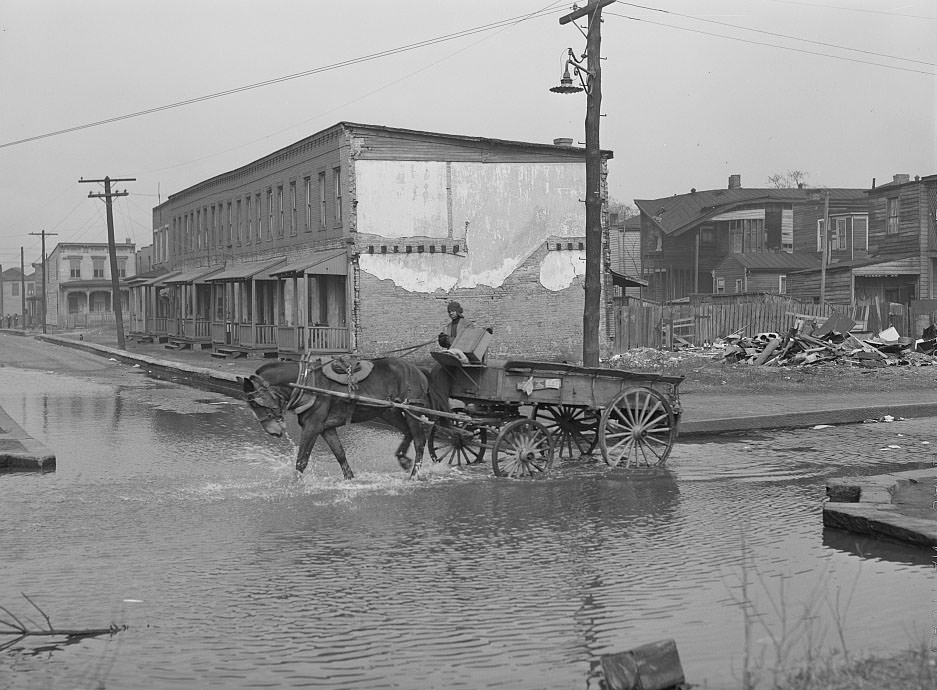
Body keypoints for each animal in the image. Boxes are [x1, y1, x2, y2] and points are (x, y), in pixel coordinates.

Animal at [243, 354, 430, 478]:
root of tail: (416, 368)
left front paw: (295, 483)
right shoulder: (326, 428)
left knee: (420, 441)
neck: (305, 382)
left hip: (413, 409)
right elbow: (340, 454)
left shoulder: (313, 426)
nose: (272, 431)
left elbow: (301, 460)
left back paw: (414, 475)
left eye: (256, 403)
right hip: (388, 411)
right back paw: (403, 460)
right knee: (408, 432)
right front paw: (350, 479)